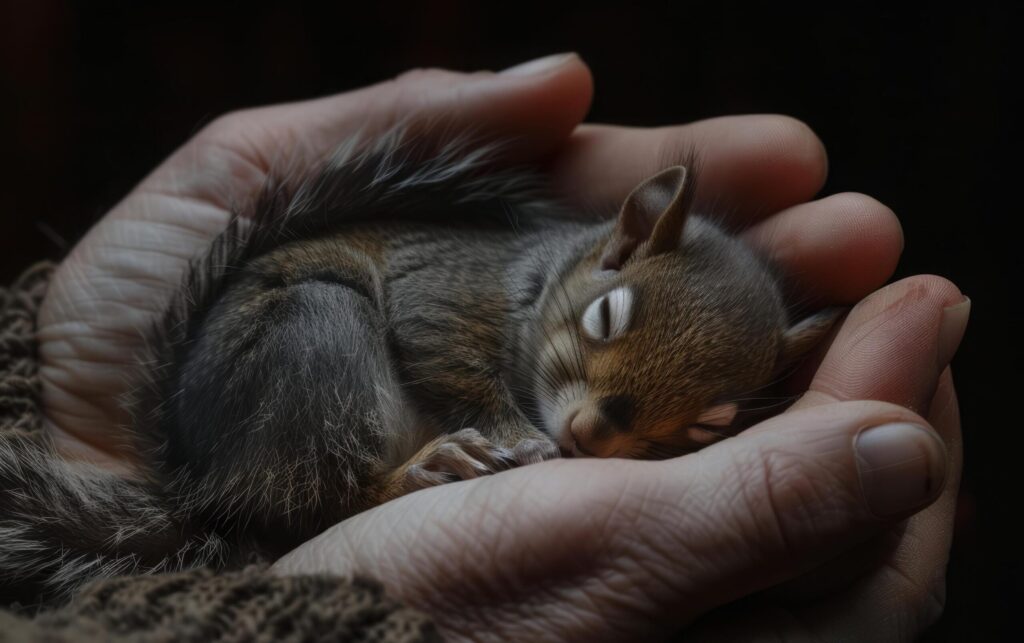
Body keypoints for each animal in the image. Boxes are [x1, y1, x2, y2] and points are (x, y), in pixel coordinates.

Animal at [0, 129, 835, 602]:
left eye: (712, 420)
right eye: (606, 314)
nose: (591, 436)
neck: (530, 285)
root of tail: (208, 487)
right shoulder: (440, 296)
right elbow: (450, 360)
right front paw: (517, 435)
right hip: (313, 339)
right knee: (321, 497)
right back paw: (426, 466)